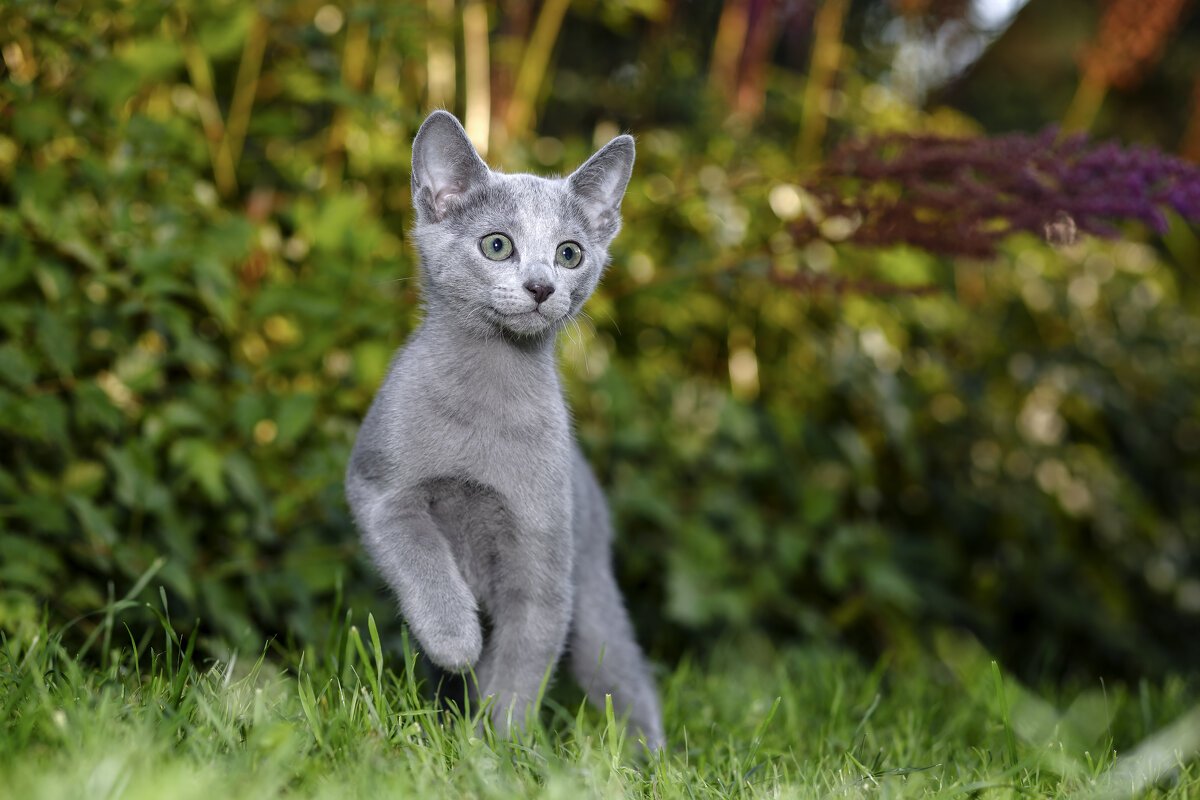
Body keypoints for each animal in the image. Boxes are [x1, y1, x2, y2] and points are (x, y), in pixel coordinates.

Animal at [348, 110, 667, 753]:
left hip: (591, 583)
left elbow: (522, 664)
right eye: (497, 245)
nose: (542, 286)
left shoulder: (543, 564)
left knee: (622, 671)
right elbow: (421, 554)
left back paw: (649, 756)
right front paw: (456, 640)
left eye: (569, 253)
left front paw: (495, 746)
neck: (487, 395)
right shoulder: (378, 487)